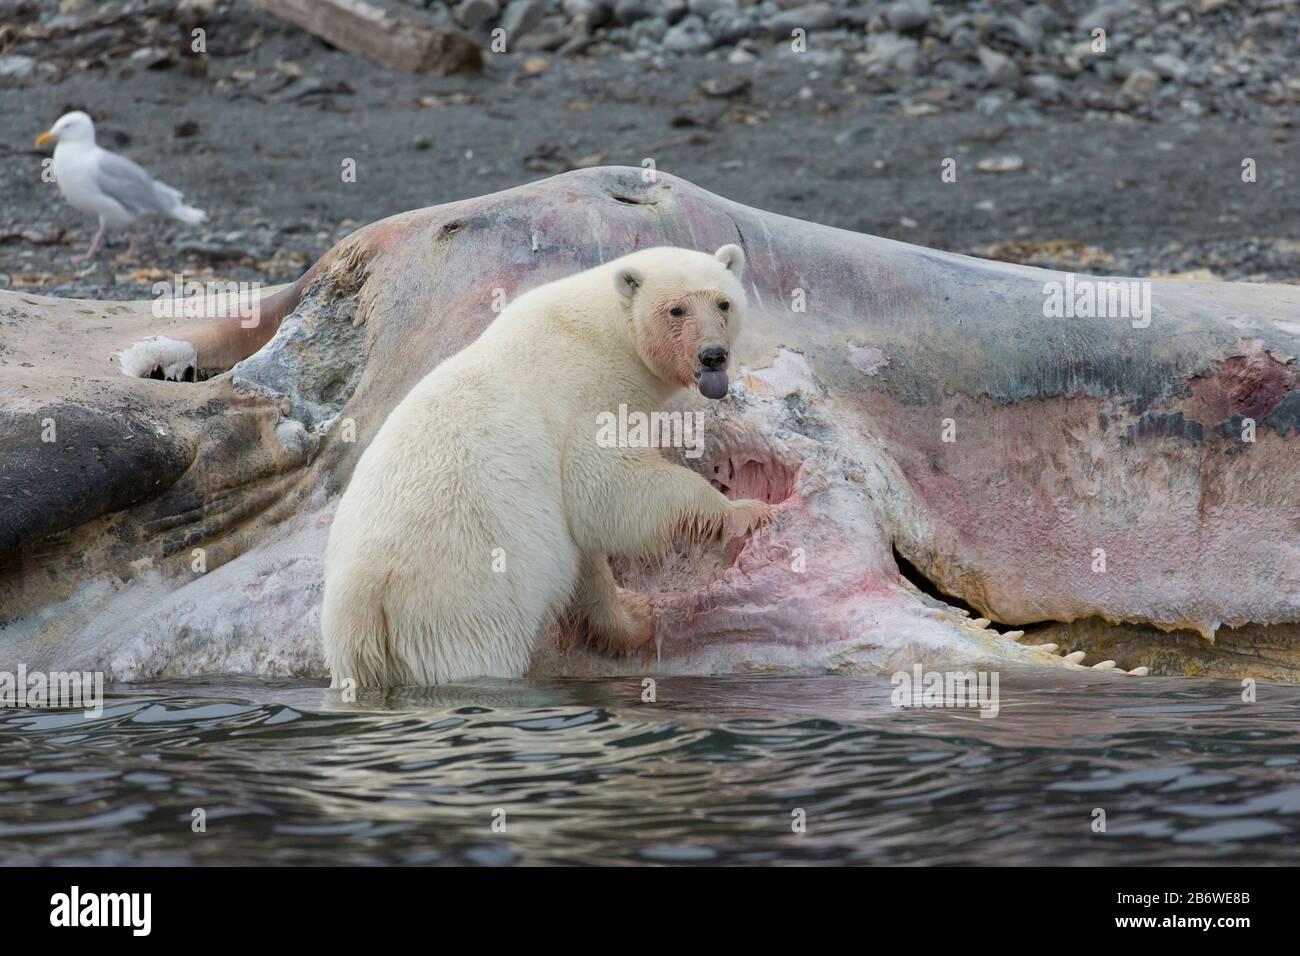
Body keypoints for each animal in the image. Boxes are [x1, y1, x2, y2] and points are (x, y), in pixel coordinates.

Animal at [319, 244, 774, 688]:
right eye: (676, 309)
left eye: (723, 302)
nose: (713, 356)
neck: (601, 336)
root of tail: (365, 606)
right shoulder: (584, 397)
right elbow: (608, 487)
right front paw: (745, 510)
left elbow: (584, 553)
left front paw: (630, 618)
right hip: (452, 603)